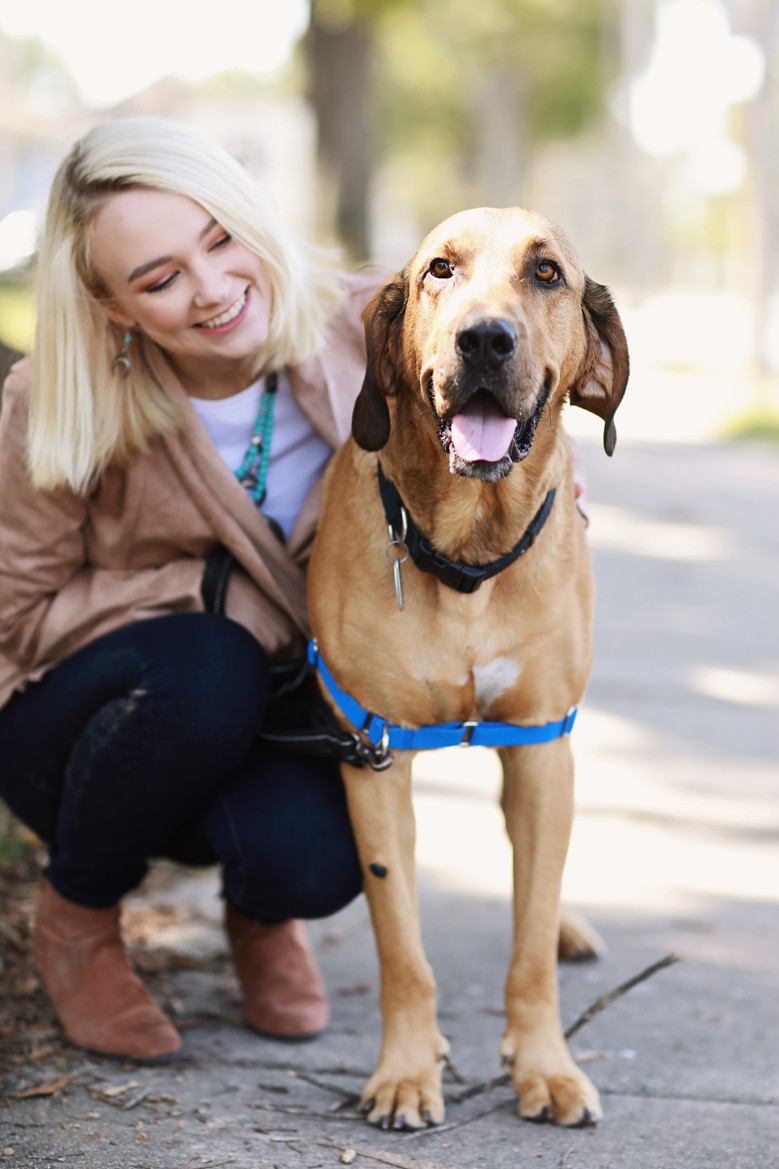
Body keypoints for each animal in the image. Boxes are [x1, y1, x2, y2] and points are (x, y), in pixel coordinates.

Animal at [306, 205, 626, 1126]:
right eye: (438, 270)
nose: (483, 340)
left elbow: (530, 946)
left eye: (546, 272)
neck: (468, 557)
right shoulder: (373, 751)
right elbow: (400, 941)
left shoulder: (542, 743)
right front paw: (406, 1069)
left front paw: (546, 1066)